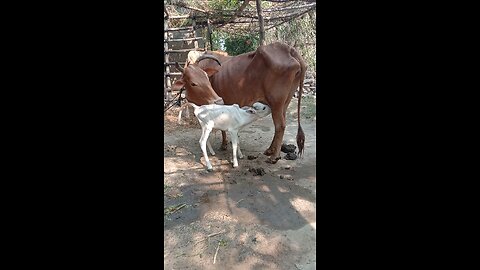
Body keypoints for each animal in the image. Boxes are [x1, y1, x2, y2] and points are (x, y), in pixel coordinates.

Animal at [172, 42, 304, 162]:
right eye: (193, 83)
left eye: (206, 78)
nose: (219, 100)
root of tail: (290, 50)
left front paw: (223, 145)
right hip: (284, 103)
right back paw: (270, 150)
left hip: (276, 103)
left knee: (280, 125)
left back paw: (274, 156)